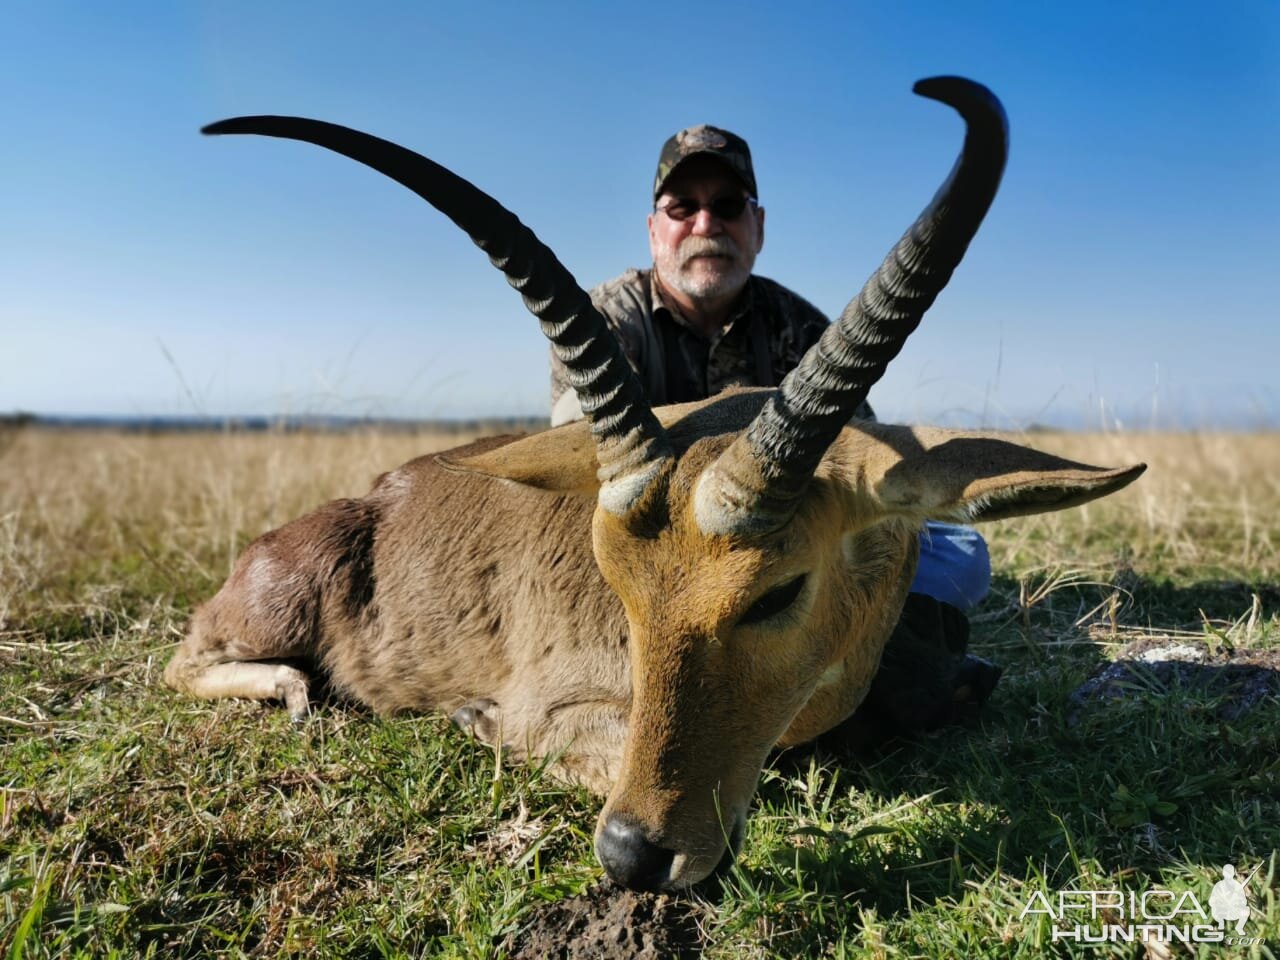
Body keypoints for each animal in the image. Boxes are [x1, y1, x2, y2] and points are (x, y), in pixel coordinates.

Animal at [165, 79, 1146, 890]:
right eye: (618, 583)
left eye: (777, 590)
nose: (634, 853)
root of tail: (368, 500)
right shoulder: (563, 711)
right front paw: (477, 721)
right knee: (185, 661)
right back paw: (297, 691)